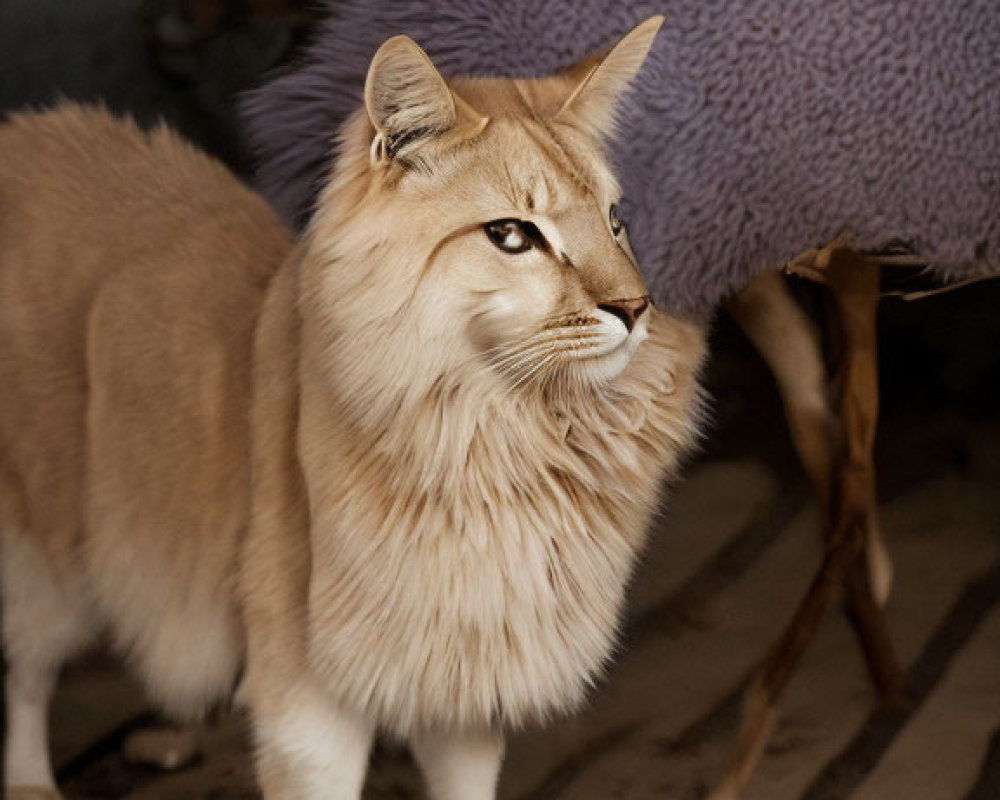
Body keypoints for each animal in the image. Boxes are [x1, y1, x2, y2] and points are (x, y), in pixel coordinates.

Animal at [0, 18, 704, 800]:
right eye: (513, 236)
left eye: (615, 221)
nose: (634, 309)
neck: (499, 439)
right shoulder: (309, 710)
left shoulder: (462, 691)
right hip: (52, 556)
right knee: (28, 669)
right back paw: (31, 780)